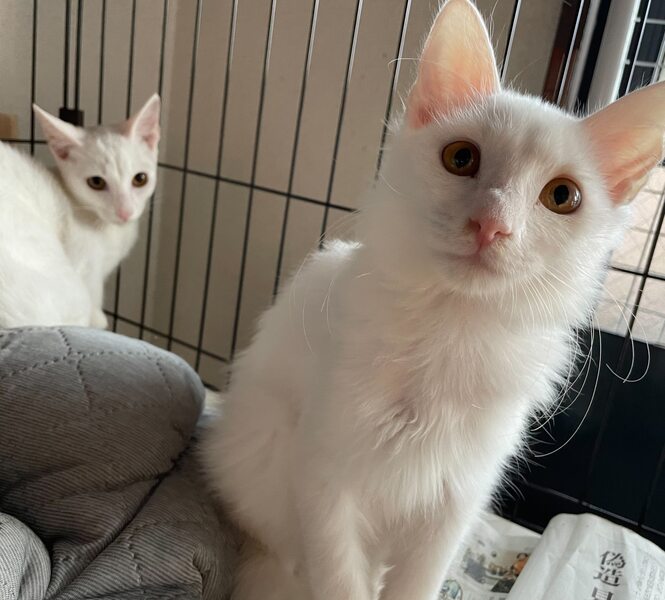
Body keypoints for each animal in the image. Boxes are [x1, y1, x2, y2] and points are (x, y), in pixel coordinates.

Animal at [0, 95, 160, 329]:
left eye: (140, 179)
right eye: (96, 182)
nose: (125, 212)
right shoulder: (84, 262)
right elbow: (94, 311)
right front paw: (100, 320)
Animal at [201, 1, 665, 599]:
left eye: (563, 197)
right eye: (461, 158)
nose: (492, 224)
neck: (451, 331)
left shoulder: (456, 499)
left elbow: (416, 583)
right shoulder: (324, 475)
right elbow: (340, 578)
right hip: (262, 457)